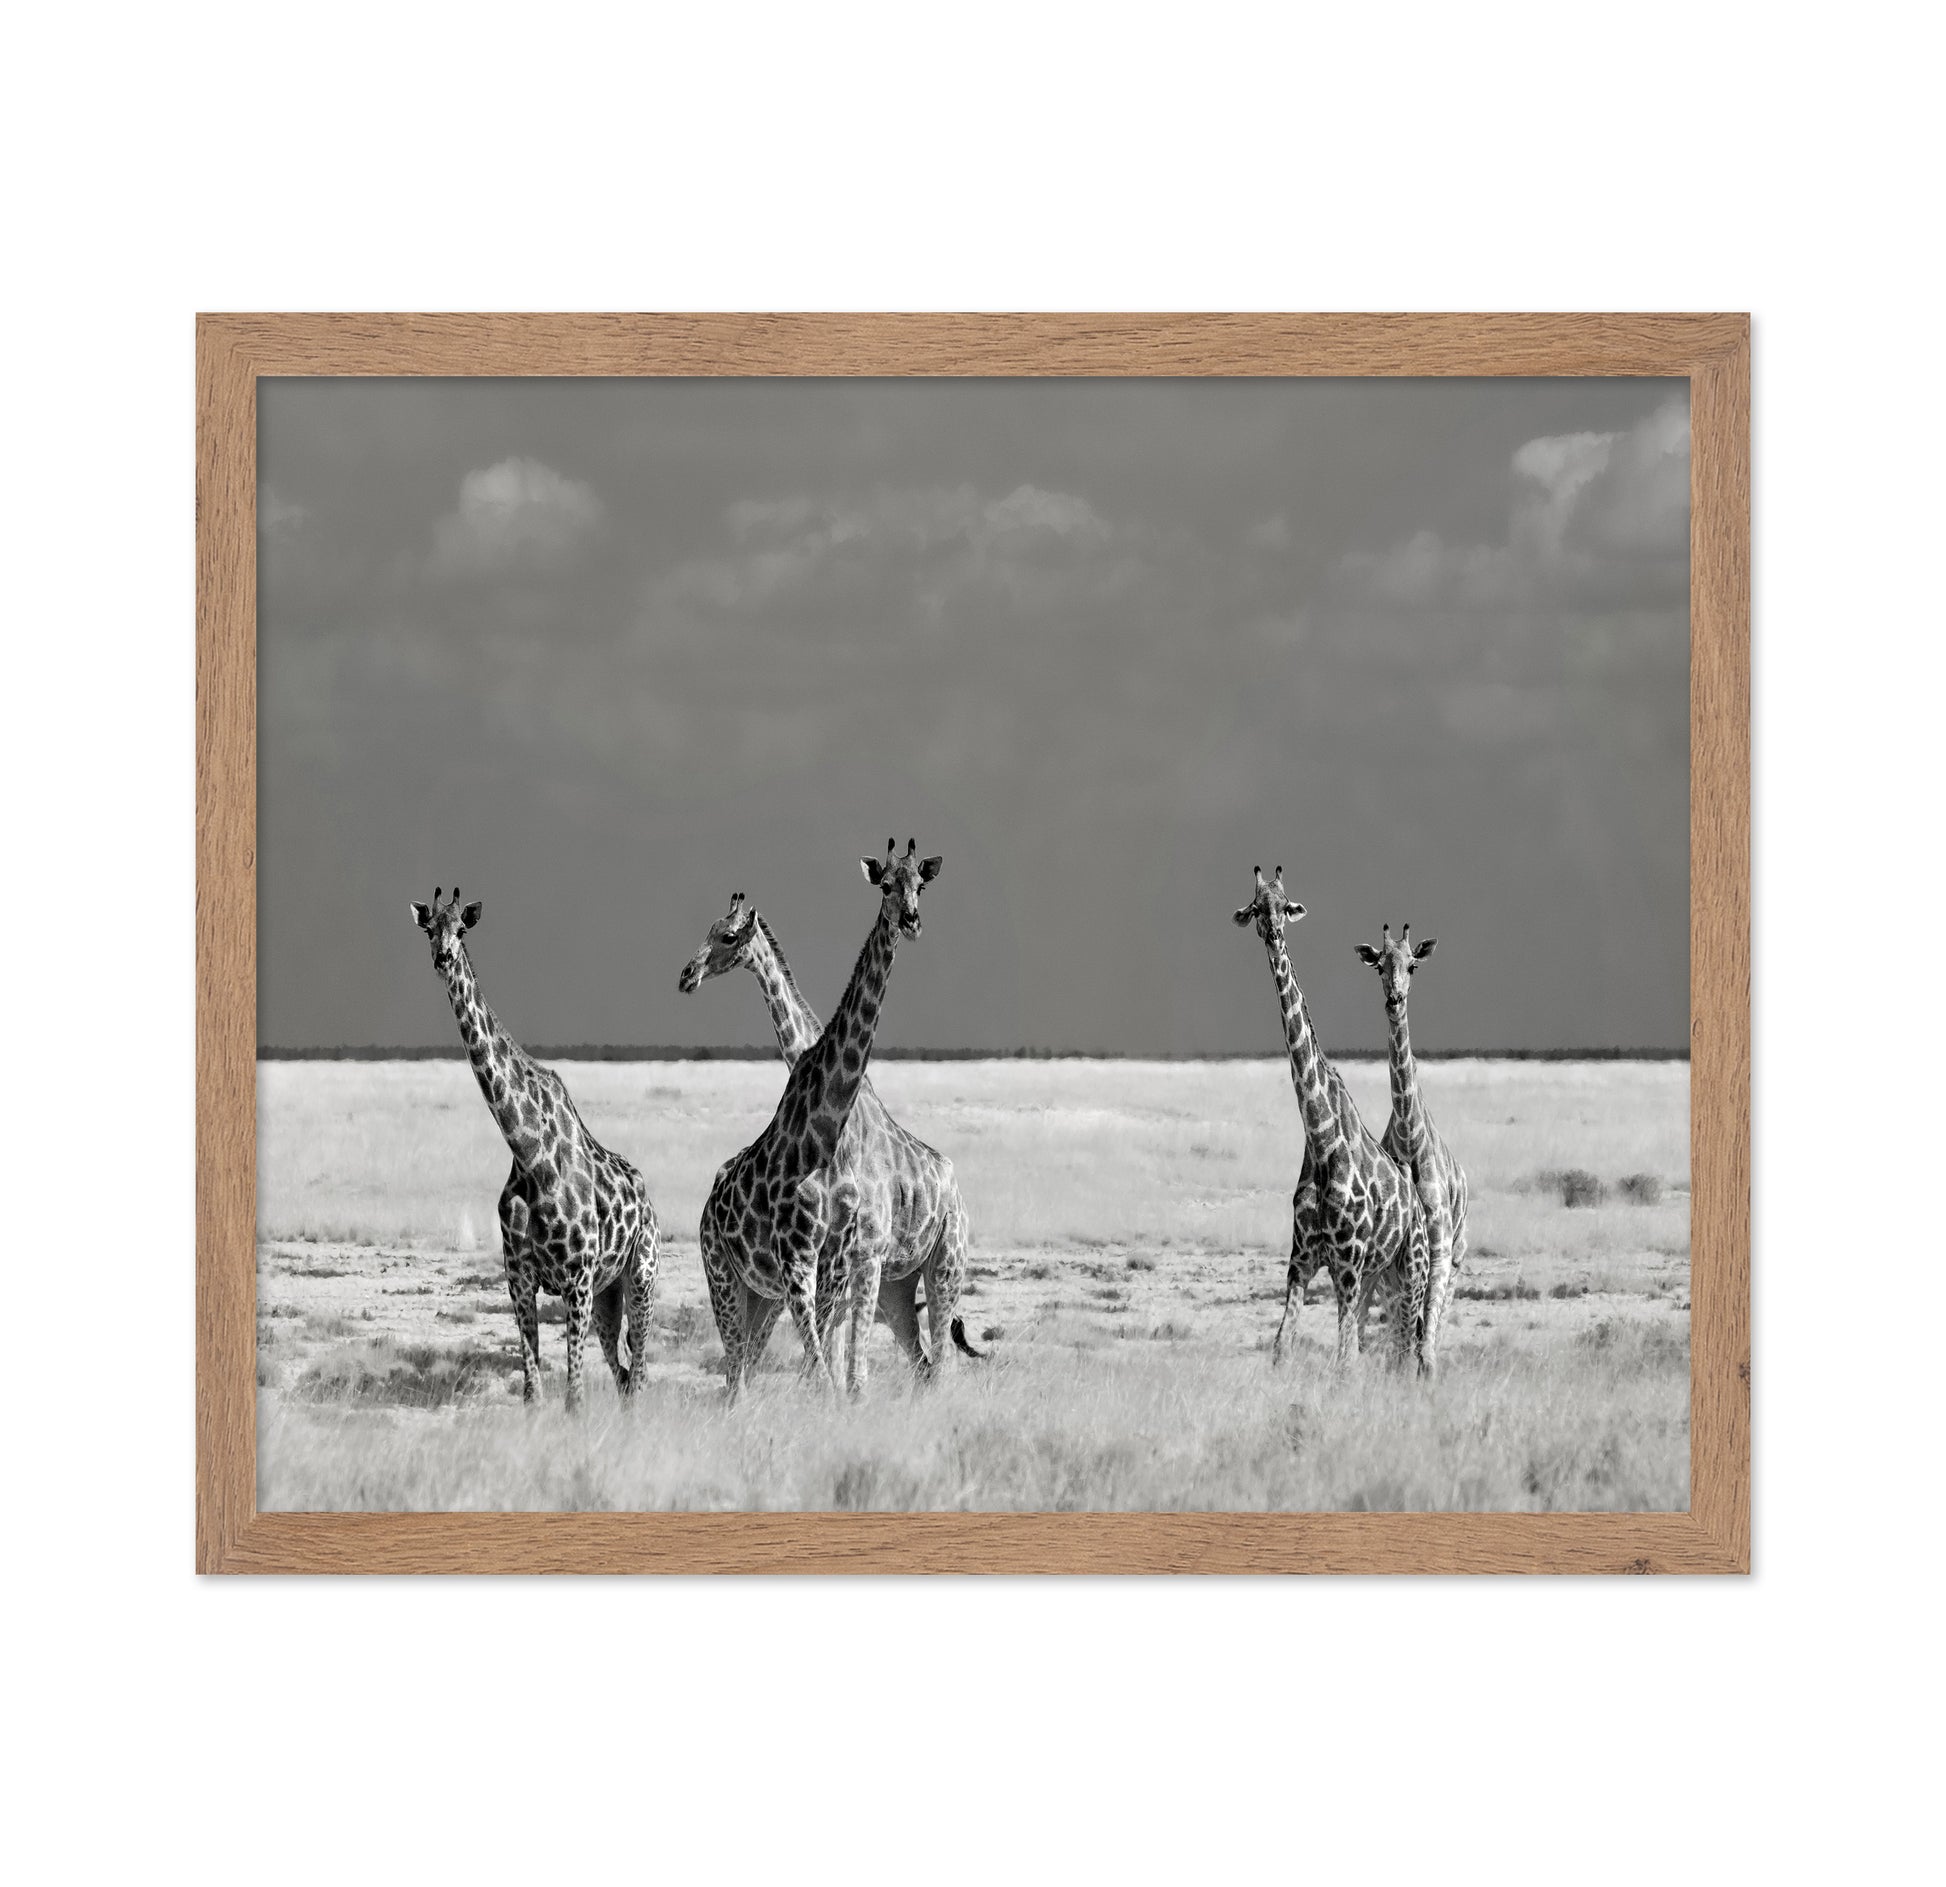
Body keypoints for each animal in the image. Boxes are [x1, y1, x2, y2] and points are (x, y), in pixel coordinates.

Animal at [410, 887, 659, 1410]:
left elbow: (574, 1397)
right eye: (429, 929)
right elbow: (532, 1391)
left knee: (640, 1372)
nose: (444, 958)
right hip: (609, 1296)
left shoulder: (577, 1282)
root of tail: (648, 1199)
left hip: (641, 1276)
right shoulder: (520, 1281)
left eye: (461, 929)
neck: (529, 1154)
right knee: (625, 1373)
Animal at [679, 890, 980, 1378]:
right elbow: (832, 1361)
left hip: (943, 1260)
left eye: (728, 936)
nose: (688, 975)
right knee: (919, 1360)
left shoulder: (858, 1256)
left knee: (937, 1359)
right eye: (710, 930)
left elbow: (842, 1366)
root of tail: (953, 1181)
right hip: (894, 1286)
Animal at [1232, 866, 1430, 1373]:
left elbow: (1344, 1362)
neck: (1321, 1141)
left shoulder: (1346, 1263)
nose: (1274, 931)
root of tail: (1419, 1207)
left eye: (1287, 905)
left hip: (1411, 1268)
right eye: (1256, 907)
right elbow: (1283, 1347)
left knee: (1413, 1346)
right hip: (1379, 1272)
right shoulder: (1301, 1261)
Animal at [1356, 922, 1470, 1373]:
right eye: (1378, 966)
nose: (1394, 999)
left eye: (1413, 965)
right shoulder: (1392, 1263)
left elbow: (1426, 1345)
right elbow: (1405, 1339)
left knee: (1429, 1331)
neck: (1409, 1135)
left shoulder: (1439, 1251)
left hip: (1456, 1259)